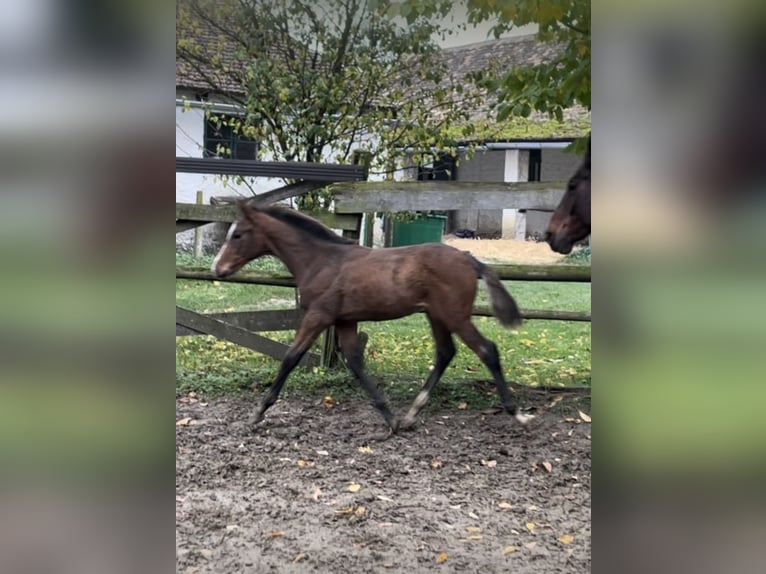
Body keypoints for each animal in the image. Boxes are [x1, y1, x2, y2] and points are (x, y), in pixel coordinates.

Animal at [210, 202, 536, 432]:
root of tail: (469, 259)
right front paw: (390, 418)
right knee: (446, 352)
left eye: (237, 234)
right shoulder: (344, 320)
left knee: (486, 350)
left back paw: (518, 414)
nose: (217, 268)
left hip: (454, 315)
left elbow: (291, 357)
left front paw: (256, 413)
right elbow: (355, 363)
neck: (321, 261)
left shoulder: (319, 316)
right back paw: (410, 415)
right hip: (437, 315)